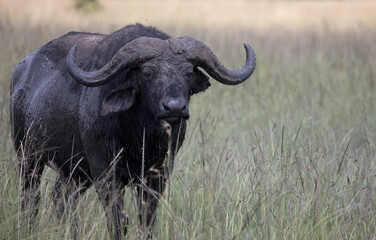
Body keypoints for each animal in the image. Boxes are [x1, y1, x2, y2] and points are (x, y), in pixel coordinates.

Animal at [9, 23, 256, 238]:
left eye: (187, 72)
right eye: (147, 73)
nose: (175, 107)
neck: (140, 136)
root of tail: (21, 71)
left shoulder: (158, 174)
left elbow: (146, 220)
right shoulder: (106, 173)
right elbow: (118, 221)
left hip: (74, 171)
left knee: (61, 200)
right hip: (28, 157)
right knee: (30, 198)